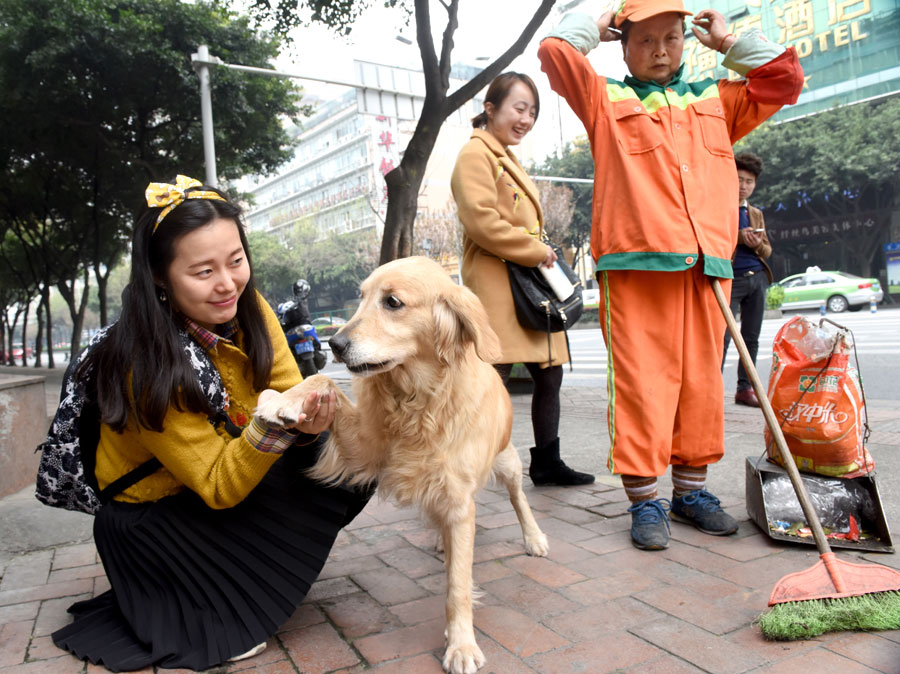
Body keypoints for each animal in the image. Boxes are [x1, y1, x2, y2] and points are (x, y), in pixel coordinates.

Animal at [253, 256, 548, 672]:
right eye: (360, 297)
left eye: (392, 302)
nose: (335, 344)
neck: (416, 397)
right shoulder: (367, 448)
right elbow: (323, 380)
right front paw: (285, 400)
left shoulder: (459, 500)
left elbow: (458, 585)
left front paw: (461, 644)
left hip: (505, 461)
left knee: (518, 498)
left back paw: (533, 538)